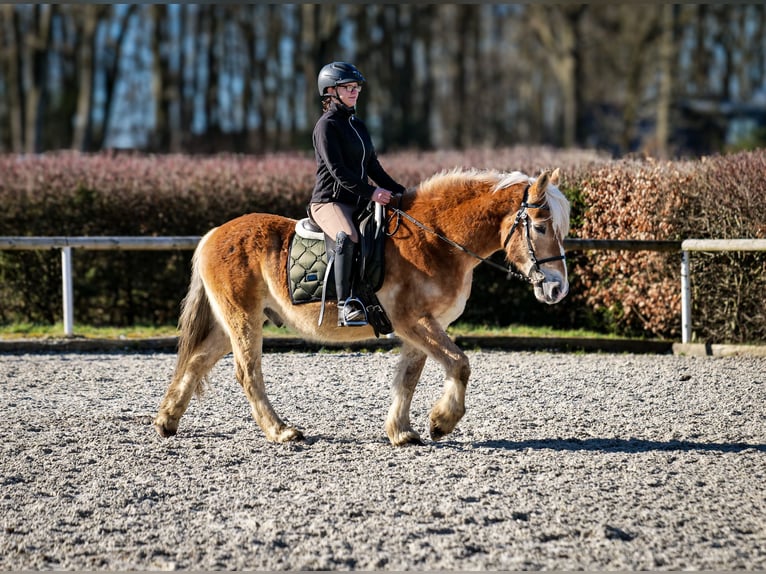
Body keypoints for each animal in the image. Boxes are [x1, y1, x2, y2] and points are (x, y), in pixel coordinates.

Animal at [156, 169, 572, 448]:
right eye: (539, 227)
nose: (557, 288)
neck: (436, 240)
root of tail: (213, 234)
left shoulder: (422, 325)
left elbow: (408, 378)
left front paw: (401, 432)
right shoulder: (413, 321)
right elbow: (459, 364)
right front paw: (441, 422)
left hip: (233, 321)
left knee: (197, 361)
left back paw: (167, 421)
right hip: (242, 319)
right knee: (247, 372)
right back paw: (280, 431)